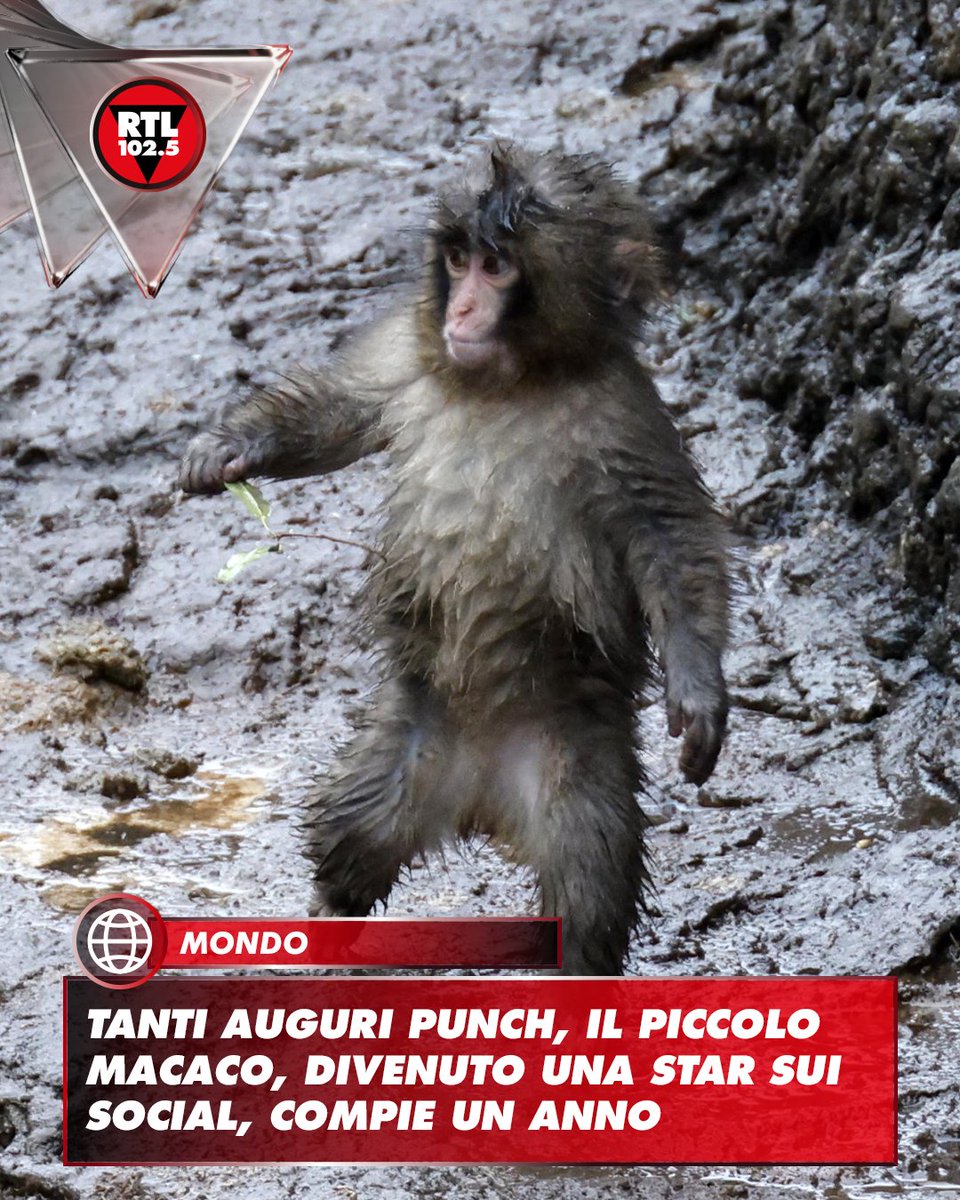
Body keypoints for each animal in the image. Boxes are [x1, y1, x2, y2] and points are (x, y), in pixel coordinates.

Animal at [179, 145, 732, 975]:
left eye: (498, 266)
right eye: (459, 259)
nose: (461, 312)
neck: (512, 386)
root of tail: (482, 798)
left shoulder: (620, 417)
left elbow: (668, 535)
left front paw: (699, 692)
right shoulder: (411, 352)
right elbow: (341, 410)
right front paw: (228, 447)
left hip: (567, 754)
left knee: (589, 853)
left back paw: (579, 967)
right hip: (418, 737)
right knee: (365, 818)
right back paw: (334, 907)